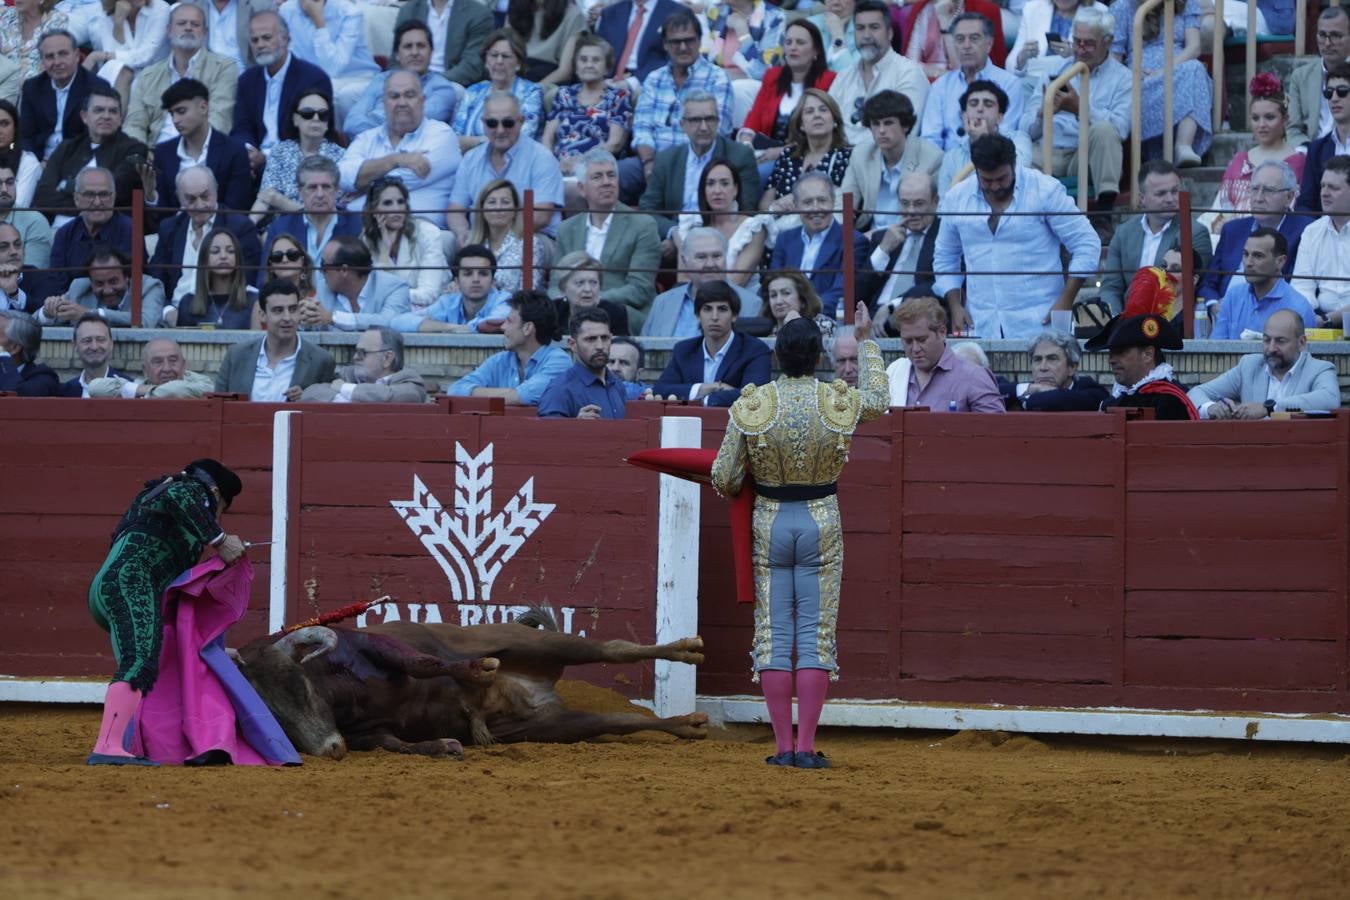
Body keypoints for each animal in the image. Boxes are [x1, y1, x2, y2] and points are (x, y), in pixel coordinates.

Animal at [234, 612, 707, 761]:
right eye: (273, 716)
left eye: (298, 684)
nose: (331, 749)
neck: (342, 695)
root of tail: (539, 688)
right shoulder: (364, 732)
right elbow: (392, 742)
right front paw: (442, 746)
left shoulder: (375, 647)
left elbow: (423, 663)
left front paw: (477, 671)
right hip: (553, 726)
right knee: (621, 720)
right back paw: (688, 724)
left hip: (536, 642)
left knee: (615, 649)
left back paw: (688, 649)